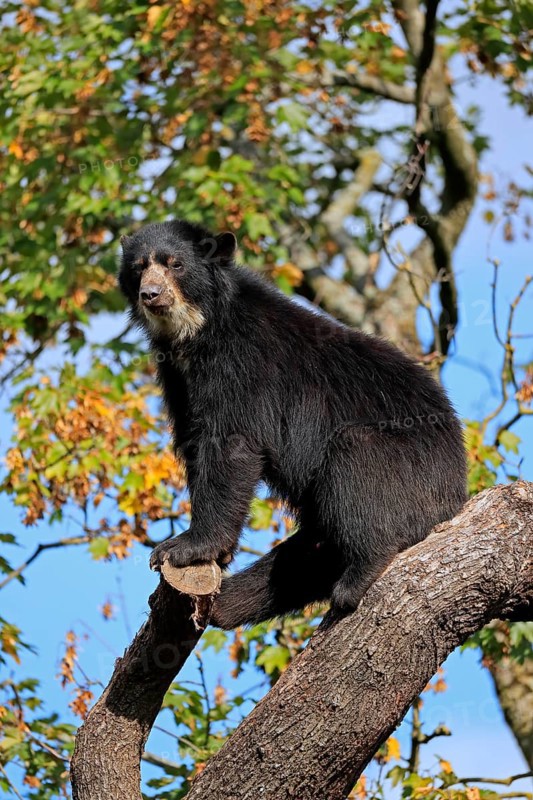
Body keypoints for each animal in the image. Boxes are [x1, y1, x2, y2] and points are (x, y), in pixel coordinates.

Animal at [118, 219, 467, 629]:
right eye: (139, 267)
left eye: (175, 264)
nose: (150, 294)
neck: (196, 333)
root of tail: (458, 488)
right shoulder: (177, 379)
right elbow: (193, 441)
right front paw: (212, 557)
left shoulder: (244, 365)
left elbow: (233, 444)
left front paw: (183, 547)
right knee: (302, 557)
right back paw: (227, 603)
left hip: (405, 466)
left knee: (357, 471)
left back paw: (359, 575)